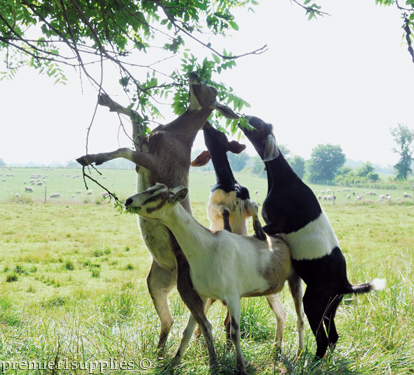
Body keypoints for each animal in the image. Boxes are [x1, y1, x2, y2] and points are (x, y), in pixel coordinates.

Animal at [76, 72, 238, 370]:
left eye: (211, 88)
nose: (194, 74)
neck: (177, 135)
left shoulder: (151, 159)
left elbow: (124, 147)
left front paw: (91, 157)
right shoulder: (146, 142)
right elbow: (136, 116)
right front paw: (107, 100)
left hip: (187, 286)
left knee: (201, 324)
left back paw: (198, 362)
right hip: (157, 282)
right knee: (170, 320)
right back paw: (159, 356)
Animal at [192, 121, 300, 352]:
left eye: (220, 133)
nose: (207, 124)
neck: (227, 183)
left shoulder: (247, 201)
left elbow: (254, 206)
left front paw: (259, 230)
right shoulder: (212, 207)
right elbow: (223, 210)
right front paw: (226, 227)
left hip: (266, 290)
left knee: (278, 314)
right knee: (203, 316)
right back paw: (201, 342)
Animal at [238, 116, 386, 362]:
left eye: (256, 123)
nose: (243, 117)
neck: (284, 178)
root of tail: (345, 283)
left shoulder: (277, 225)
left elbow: (260, 229)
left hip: (313, 304)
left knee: (323, 340)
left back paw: (313, 362)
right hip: (330, 308)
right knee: (333, 336)